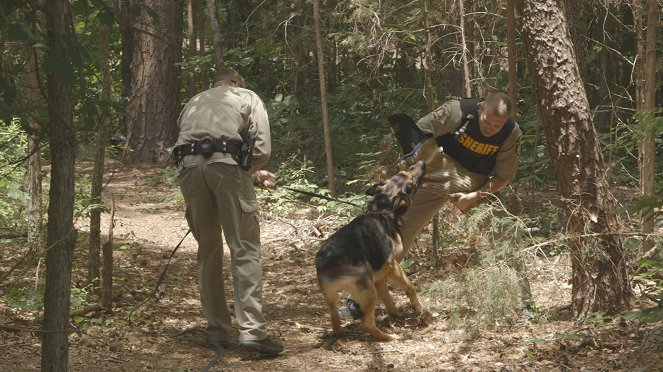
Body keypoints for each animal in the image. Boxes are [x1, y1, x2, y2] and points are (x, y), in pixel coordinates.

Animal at [318, 161, 430, 342]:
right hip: (369, 293)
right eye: (411, 184)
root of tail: (327, 262)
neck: (384, 211)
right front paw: (419, 311)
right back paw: (389, 336)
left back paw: (341, 334)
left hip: (332, 299)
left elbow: (388, 299)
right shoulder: (393, 266)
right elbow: (410, 288)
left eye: (402, 172)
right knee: (368, 325)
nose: (422, 163)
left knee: (334, 320)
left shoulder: (379, 277)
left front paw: (396, 316)